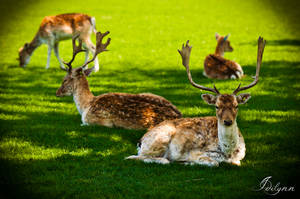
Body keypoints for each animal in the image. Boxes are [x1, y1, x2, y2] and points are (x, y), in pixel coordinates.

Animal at [125, 36, 266, 166]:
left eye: (236, 106)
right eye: (216, 106)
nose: (227, 121)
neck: (228, 153)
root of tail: (140, 141)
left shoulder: (240, 157)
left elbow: (236, 163)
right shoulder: (196, 152)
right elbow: (214, 162)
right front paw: (188, 162)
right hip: (159, 140)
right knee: (134, 157)